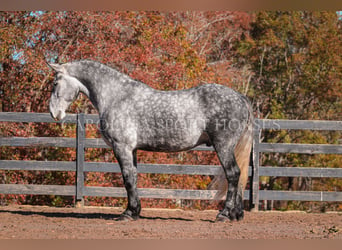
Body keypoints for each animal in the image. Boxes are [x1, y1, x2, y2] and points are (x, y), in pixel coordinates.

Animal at [48, 59, 252, 222]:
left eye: (56, 83)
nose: (54, 113)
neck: (117, 96)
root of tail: (241, 98)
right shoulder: (132, 149)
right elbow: (134, 177)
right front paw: (135, 211)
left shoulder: (122, 147)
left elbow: (127, 178)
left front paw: (128, 213)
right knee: (240, 175)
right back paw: (236, 215)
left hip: (223, 146)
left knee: (233, 174)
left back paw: (224, 214)